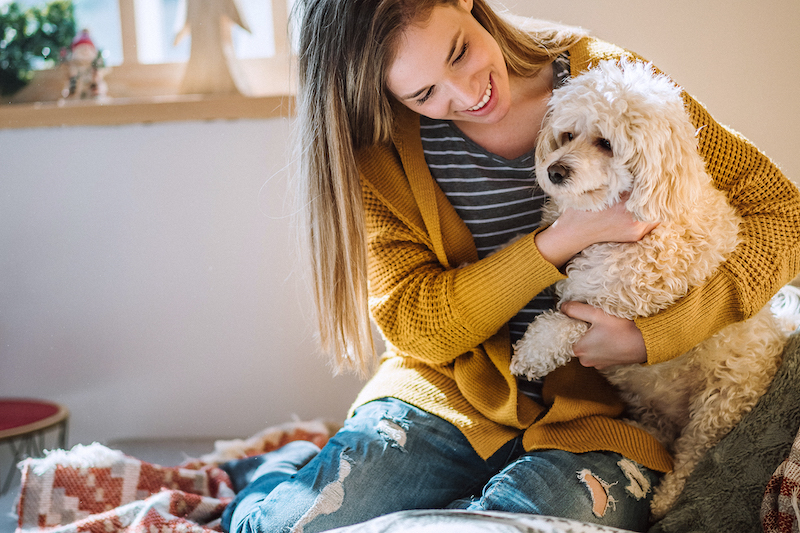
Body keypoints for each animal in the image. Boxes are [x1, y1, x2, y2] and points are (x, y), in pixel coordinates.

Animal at [512, 60, 788, 516]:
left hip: (721, 402)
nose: (553, 171)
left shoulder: (614, 309)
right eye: (567, 135)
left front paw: (530, 354)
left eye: (606, 143)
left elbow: (562, 325)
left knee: (690, 456)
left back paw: (663, 499)